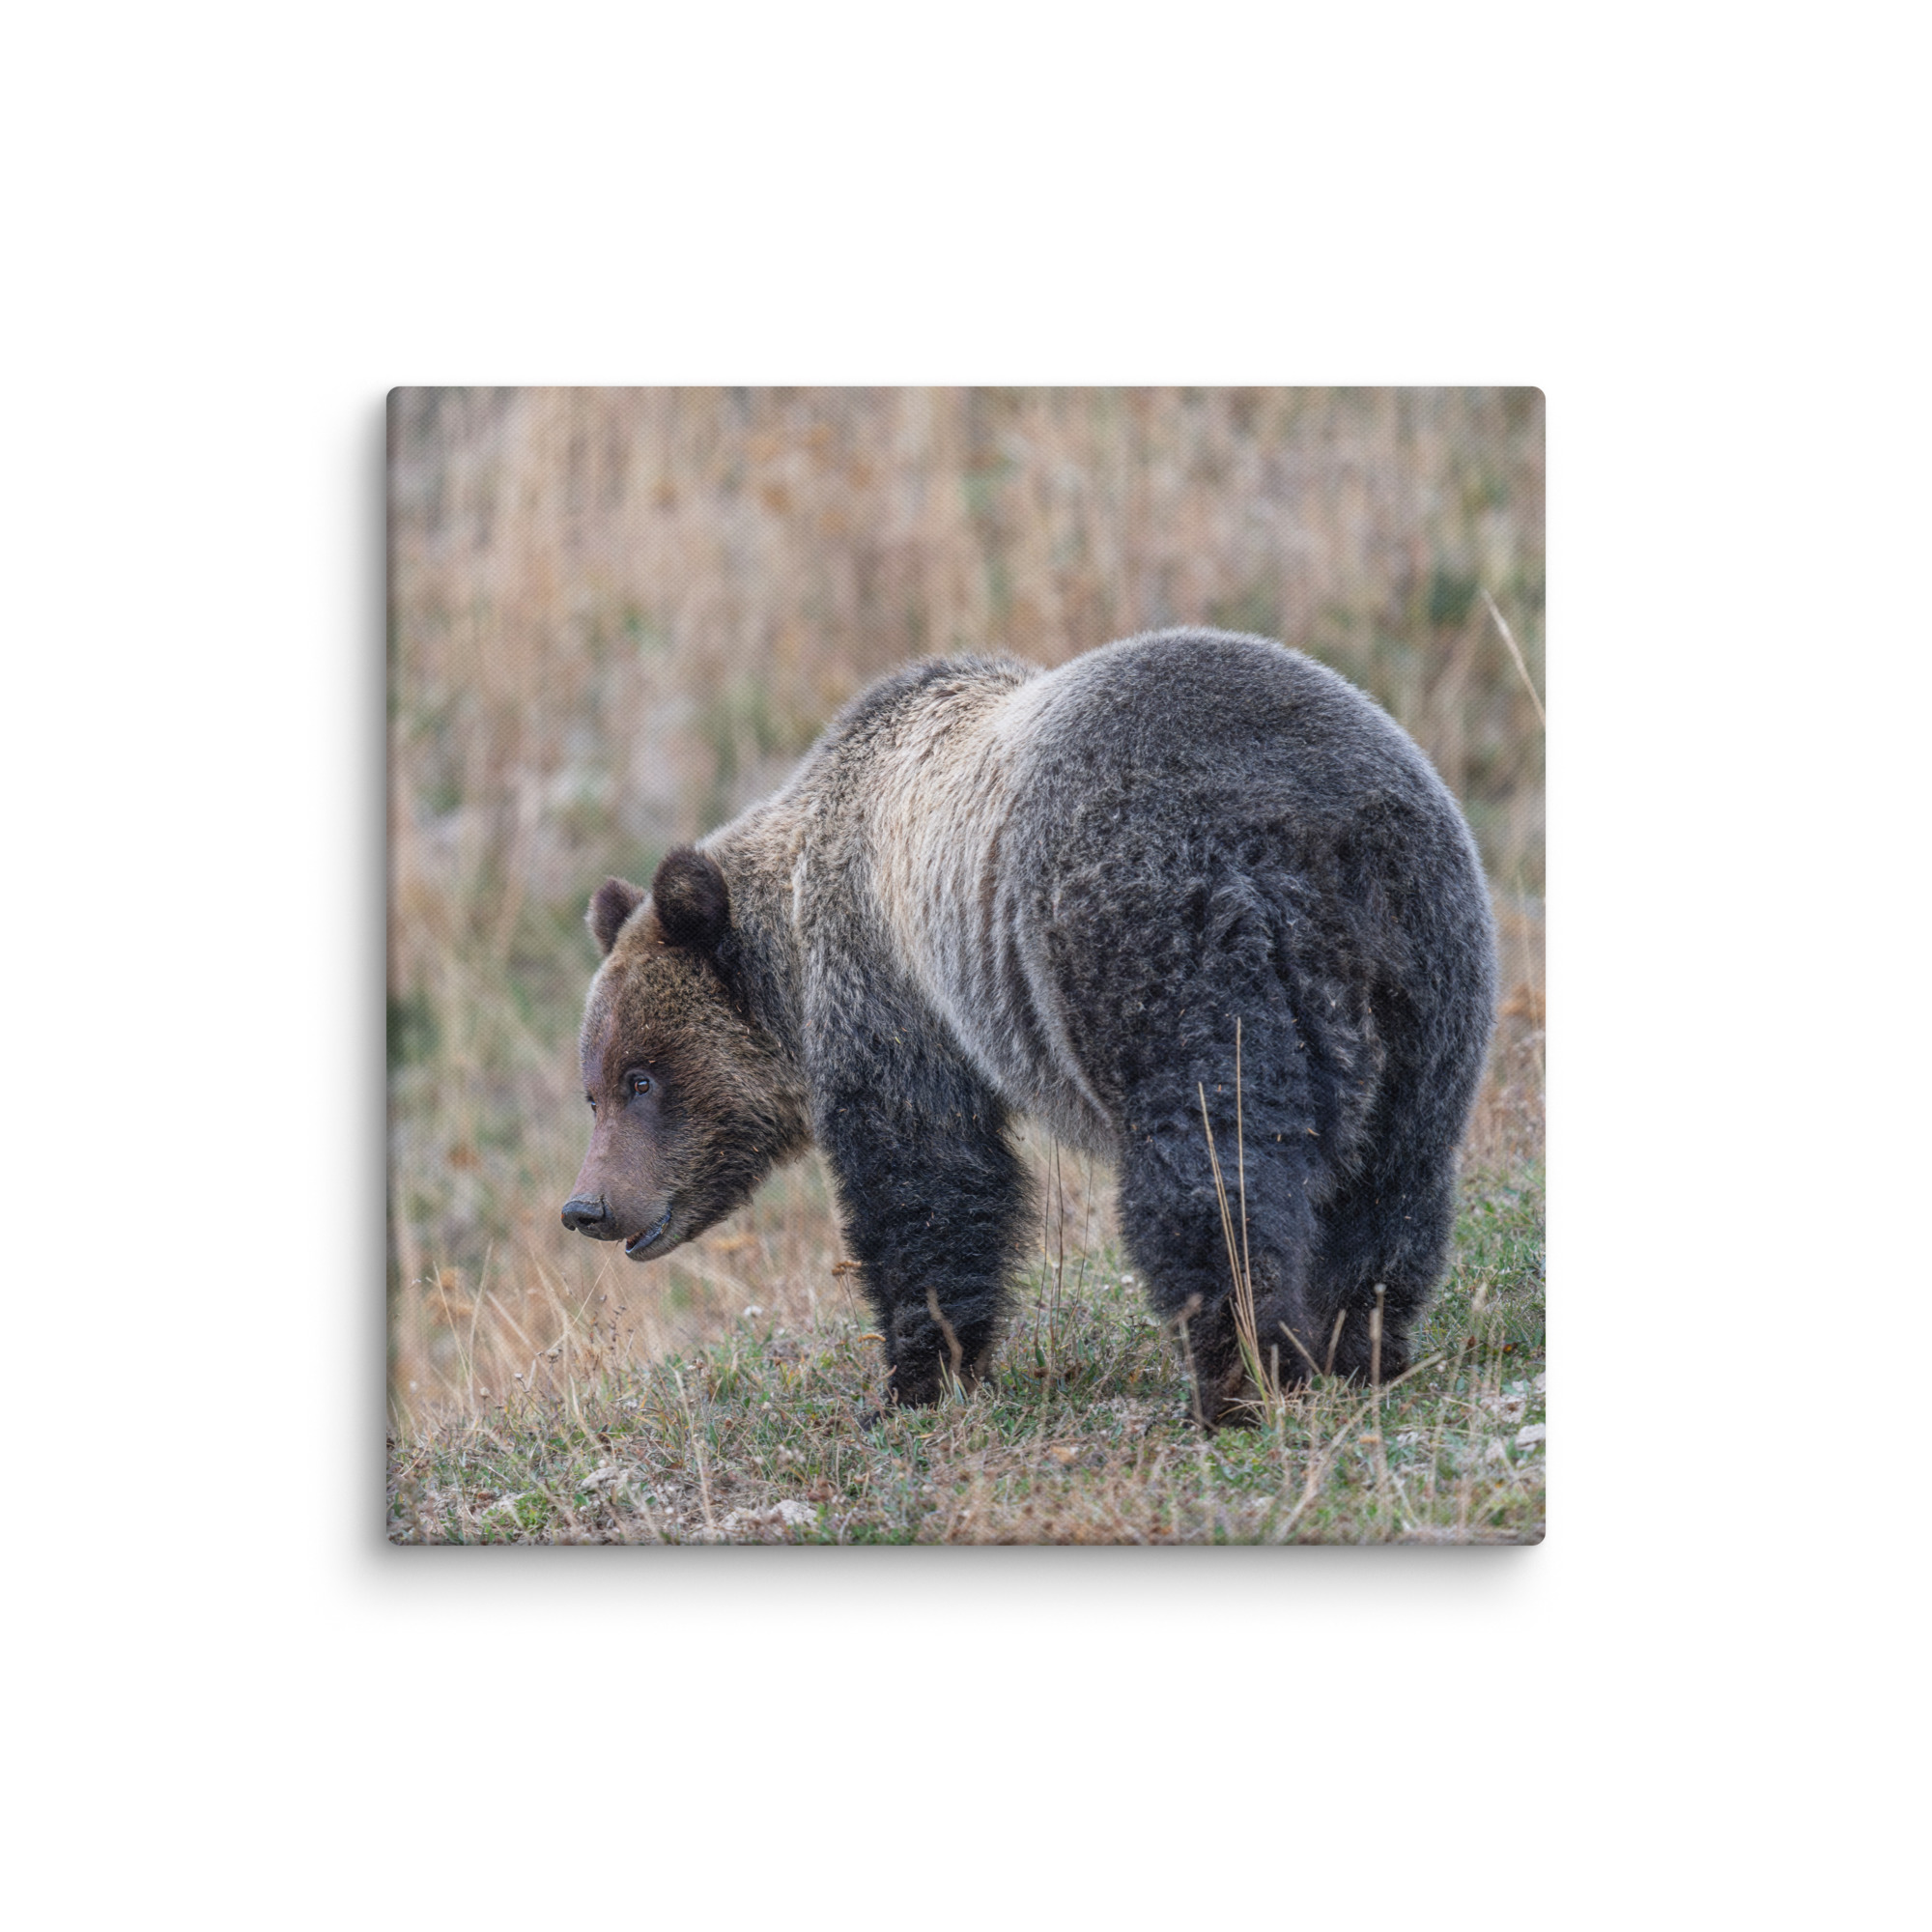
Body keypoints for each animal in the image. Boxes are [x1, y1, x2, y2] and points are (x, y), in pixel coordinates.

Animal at [562, 627, 1497, 1427]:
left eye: (642, 1078)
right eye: (593, 1089)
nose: (587, 1206)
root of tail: (1315, 833)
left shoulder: (893, 990)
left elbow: (927, 1179)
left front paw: (914, 1379)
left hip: (1162, 940)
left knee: (1212, 1169)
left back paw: (1238, 1379)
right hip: (1427, 967)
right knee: (1395, 1175)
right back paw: (1359, 1347)